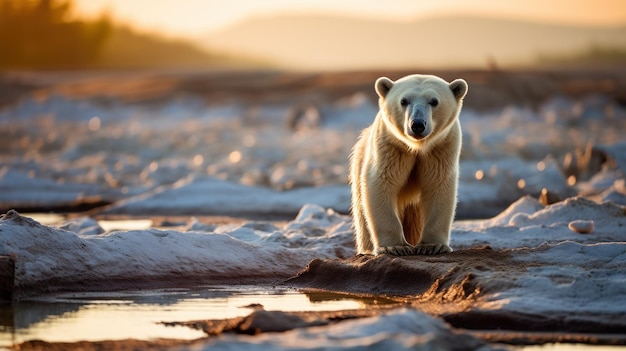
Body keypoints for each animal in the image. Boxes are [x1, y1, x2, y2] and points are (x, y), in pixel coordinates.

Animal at [348, 73, 466, 256]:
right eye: (404, 101)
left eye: (434, 101)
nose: (417, 124)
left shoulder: (441, 148)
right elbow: (381, 183)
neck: (417, 147)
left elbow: (438, 186)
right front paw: (394, 247)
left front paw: (433, 245)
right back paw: (366, 249)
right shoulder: (390, 147)